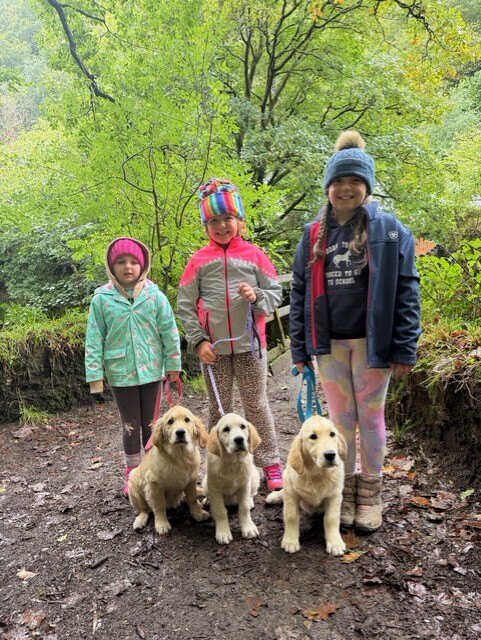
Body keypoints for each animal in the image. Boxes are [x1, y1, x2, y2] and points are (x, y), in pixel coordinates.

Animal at [128, 405, 210, 534]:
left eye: (187, 420)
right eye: (170, 421)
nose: (180, 432)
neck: (180, 456)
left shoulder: (191, 481)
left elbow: (192, 498)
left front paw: (198, 513)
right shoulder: (154, 486)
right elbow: (159, 506)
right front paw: (162, 524)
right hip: (133, 485)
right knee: (144, 509)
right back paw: (140, 520)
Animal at [202, 413, 261, 545]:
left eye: (243, 426)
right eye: (226, 429)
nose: (239, 439)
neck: (233, 462)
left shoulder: (244, 485)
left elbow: (244, 507)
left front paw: (248, 528)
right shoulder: (214, 488)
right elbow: (220, 511)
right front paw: (223, 532)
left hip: (254, 476)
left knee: (253, 494)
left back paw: (251, 501)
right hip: (205, 483)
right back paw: (207, 500)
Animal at [265, 415, 347, 556]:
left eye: (332, 434)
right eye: (313, 436)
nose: (331, 455)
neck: (317, 474)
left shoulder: (334, 495)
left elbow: (331, 518)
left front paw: (335, 542)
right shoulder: (292, 493)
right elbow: (291, 516)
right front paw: (290, 540)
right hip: (286, 477)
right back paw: (275, 496)